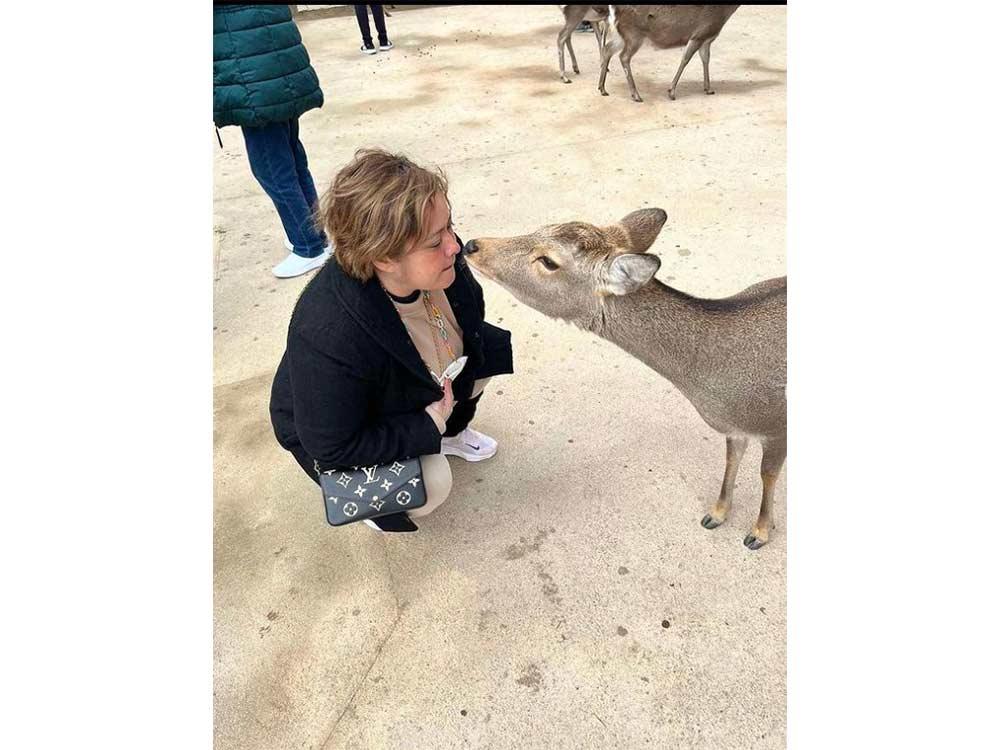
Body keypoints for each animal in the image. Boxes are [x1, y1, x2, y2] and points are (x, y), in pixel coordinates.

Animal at [462, 209, 786, 550]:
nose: (472, 245)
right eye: (542, 227)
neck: (715, 388)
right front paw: (716, 514)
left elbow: (767, 474)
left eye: (549, 261)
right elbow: (732, 459)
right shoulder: (734, 428)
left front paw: (759, 532)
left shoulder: (778, 425)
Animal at [598, 5, 740, 102]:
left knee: (607, 49)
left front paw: (708, 89)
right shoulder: (699, 34)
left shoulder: (707, 38)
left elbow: (705, 59)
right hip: (633, 34)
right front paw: (671, 92)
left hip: (621, 35)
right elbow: (685, 59)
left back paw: (602, 88)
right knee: (623, 56)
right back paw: (636, 95)